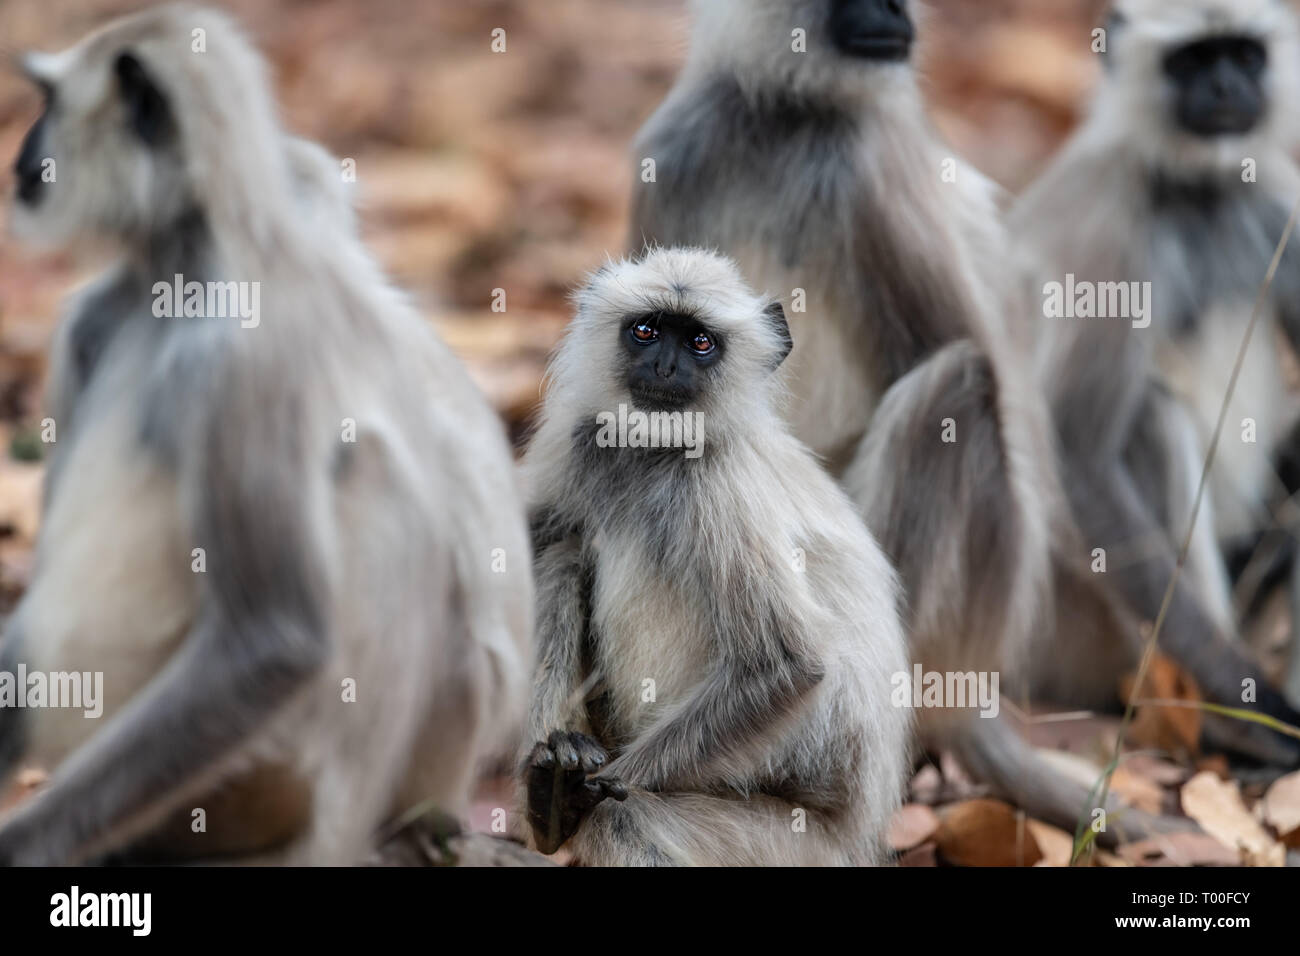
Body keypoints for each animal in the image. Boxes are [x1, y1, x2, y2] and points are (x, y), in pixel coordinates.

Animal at [0, 1, 533, 868]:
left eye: (48, 103)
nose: (24, 155)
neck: (187, 275)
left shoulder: (250, 349)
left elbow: (275, 638)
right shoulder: (88, 326)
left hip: (280, 781)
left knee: (371, 476)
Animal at [520, 248, 915, 868]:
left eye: (700, 342)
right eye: (646, 331)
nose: (664, 368)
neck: (652, 451)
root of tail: (861, 836)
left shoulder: (716, 480)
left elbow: (783, 666)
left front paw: (584, 796)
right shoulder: (580, 438)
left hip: (790, 844)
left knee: (624, 820)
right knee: (563, 552)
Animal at [626, 0, 1170, 837]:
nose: (897, 16)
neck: (785, 119)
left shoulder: (868, 159)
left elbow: (970, 363)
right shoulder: (679, 147)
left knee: (959, 384)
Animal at [1008, 0, 1300, 764]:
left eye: (1244, 55)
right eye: (1194, 61)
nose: (1226, 89)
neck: (1196, 192)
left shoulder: (1278, 205)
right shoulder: (1111, 231)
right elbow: (1079, 450)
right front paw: (1248, 696)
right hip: (1074, 625)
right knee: (1149, 413)